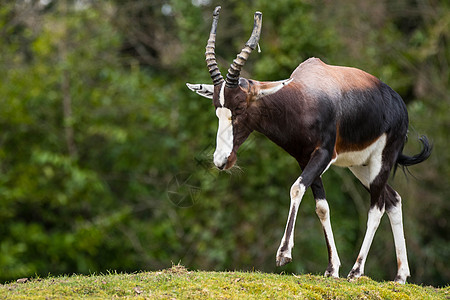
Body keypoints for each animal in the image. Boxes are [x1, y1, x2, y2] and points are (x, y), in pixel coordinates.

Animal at [186, 6, 432, 284]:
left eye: (239, 107)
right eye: (217, 108)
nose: (221, 160)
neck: (302, 97)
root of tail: (399, 103)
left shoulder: (324, 155)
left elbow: (296, 188)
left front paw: (284, 254)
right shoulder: (305, 158)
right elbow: (322, 207)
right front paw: (331, 268)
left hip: (382, 160)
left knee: (377, 206)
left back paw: (357, 271)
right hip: (360, 167)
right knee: (393, 199)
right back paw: (400, 275)